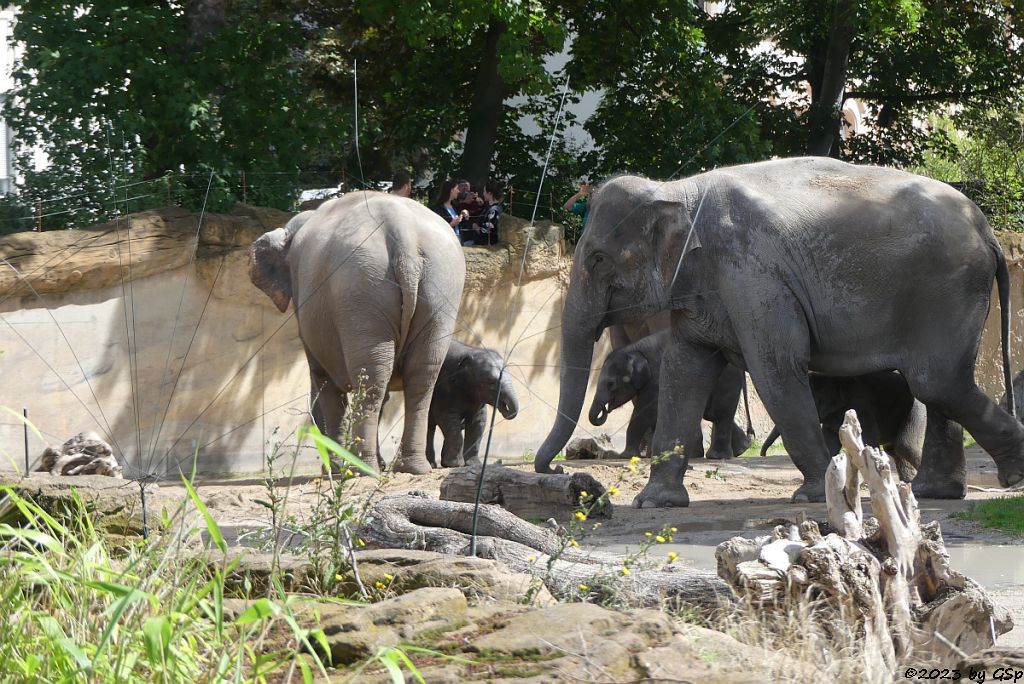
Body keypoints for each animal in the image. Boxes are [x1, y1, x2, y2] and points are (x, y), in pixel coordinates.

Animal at [249, 189, 466, 473]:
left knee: (371, 379)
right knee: (420, 378)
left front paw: (334, 468)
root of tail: (403, 231)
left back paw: (363, 469)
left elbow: (325, 383)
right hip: (439, 288)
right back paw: (410, 467)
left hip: (362, 287)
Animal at [761, 370, 929, 483]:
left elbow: (869, 439)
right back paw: (908, 483)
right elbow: (830, 443)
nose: (763, 454)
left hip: (916, 410)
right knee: (893, 449)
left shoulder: (861, 406)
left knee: (904, 445)